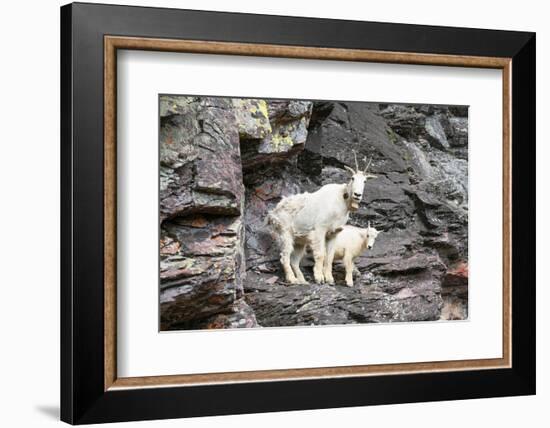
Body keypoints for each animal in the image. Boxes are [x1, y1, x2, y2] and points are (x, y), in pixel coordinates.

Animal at [266, 154, 378, 284]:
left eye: (365, 181)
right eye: (352, 178)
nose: (357, 195)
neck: (341, 202)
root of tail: (273, 212)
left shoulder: (334, 233)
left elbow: (329, 257)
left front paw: (329, 279)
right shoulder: (320, 229)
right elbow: (320, 254)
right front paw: (319, 278)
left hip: (299, 241)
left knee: (294, 260)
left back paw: (302, 281)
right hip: (285, 233)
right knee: (284, 257)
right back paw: (292, 279)